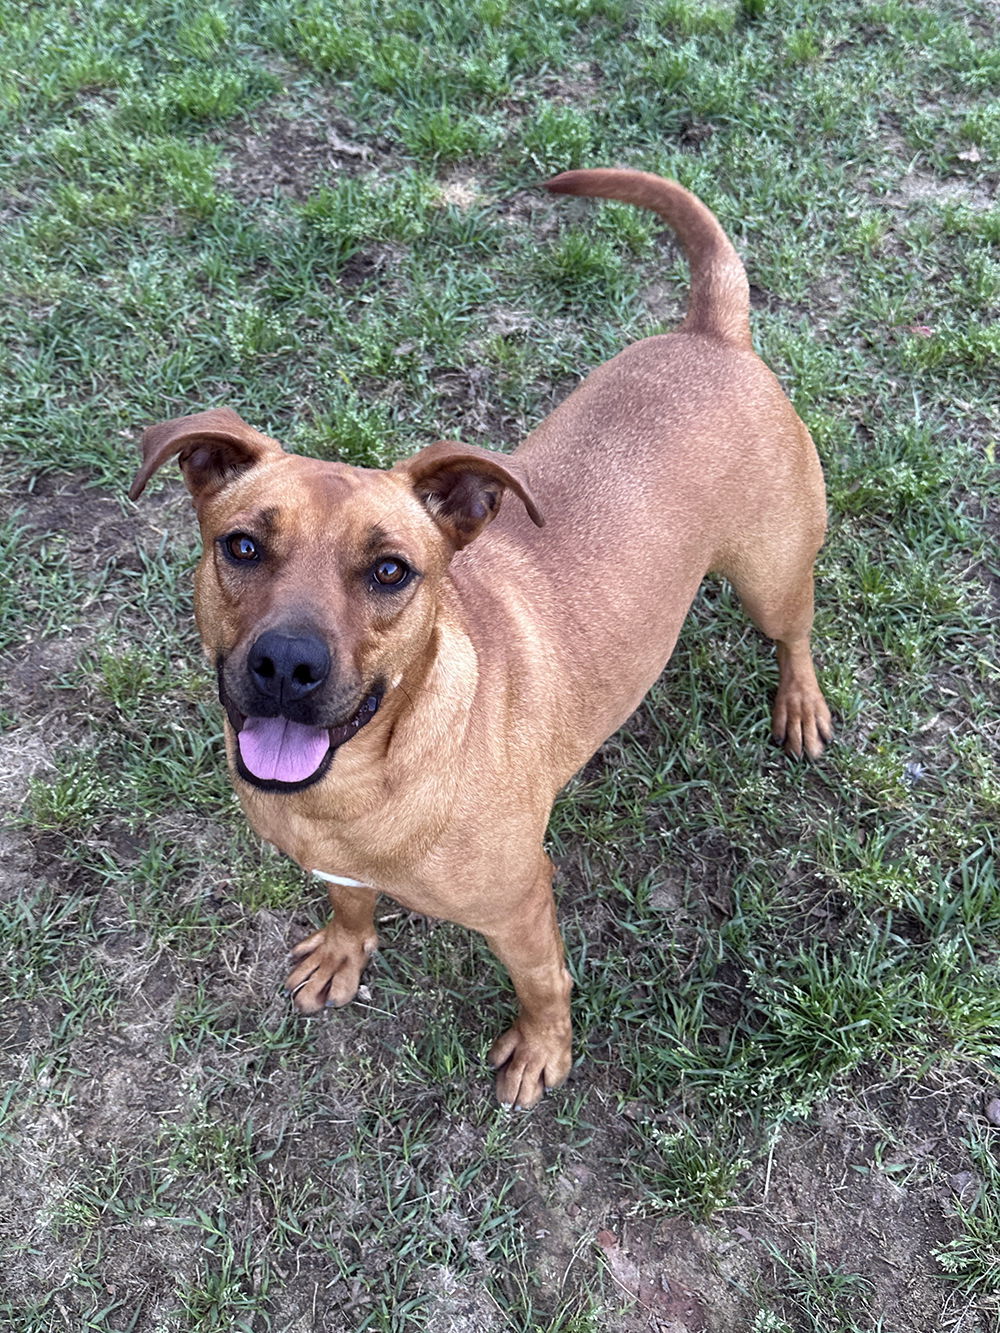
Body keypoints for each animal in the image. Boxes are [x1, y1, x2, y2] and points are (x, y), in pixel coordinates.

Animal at [127, 169, 832, 1103]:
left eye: (391, 570)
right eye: (242, 546)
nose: (286, 664)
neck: (357, 786)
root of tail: (708, 335)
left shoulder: (522, 904)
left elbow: (543, 983)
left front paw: (542, 1050)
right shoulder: (338, 868)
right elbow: (351, 902)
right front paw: (347, 950)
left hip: (771, 575)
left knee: (795, 633)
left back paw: (801, 703)